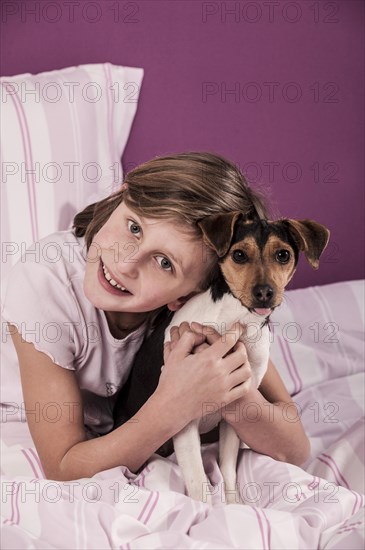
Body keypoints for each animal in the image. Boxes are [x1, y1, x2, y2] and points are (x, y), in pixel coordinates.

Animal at [112, 213, 328, 506]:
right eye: (239, 255)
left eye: (283, 255)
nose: (264, 293)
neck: (237, 321)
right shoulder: (184, 420)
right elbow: (199, 483)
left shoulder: (236, 415)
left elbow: (226, 470)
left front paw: (234, 507)